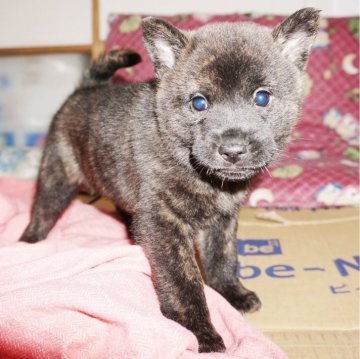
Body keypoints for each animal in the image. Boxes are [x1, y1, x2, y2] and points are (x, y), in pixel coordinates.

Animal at [19, 8, 320, 354]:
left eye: (262, 97)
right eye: (199, 103)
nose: (232, 150)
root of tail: (83, 90)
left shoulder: (221, 220)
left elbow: (222, 258)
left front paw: (232, 293)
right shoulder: (164, 223)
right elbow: (183, 282)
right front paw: (201, 334)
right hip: (57, 176)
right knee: (42, 212)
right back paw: (29, 244)